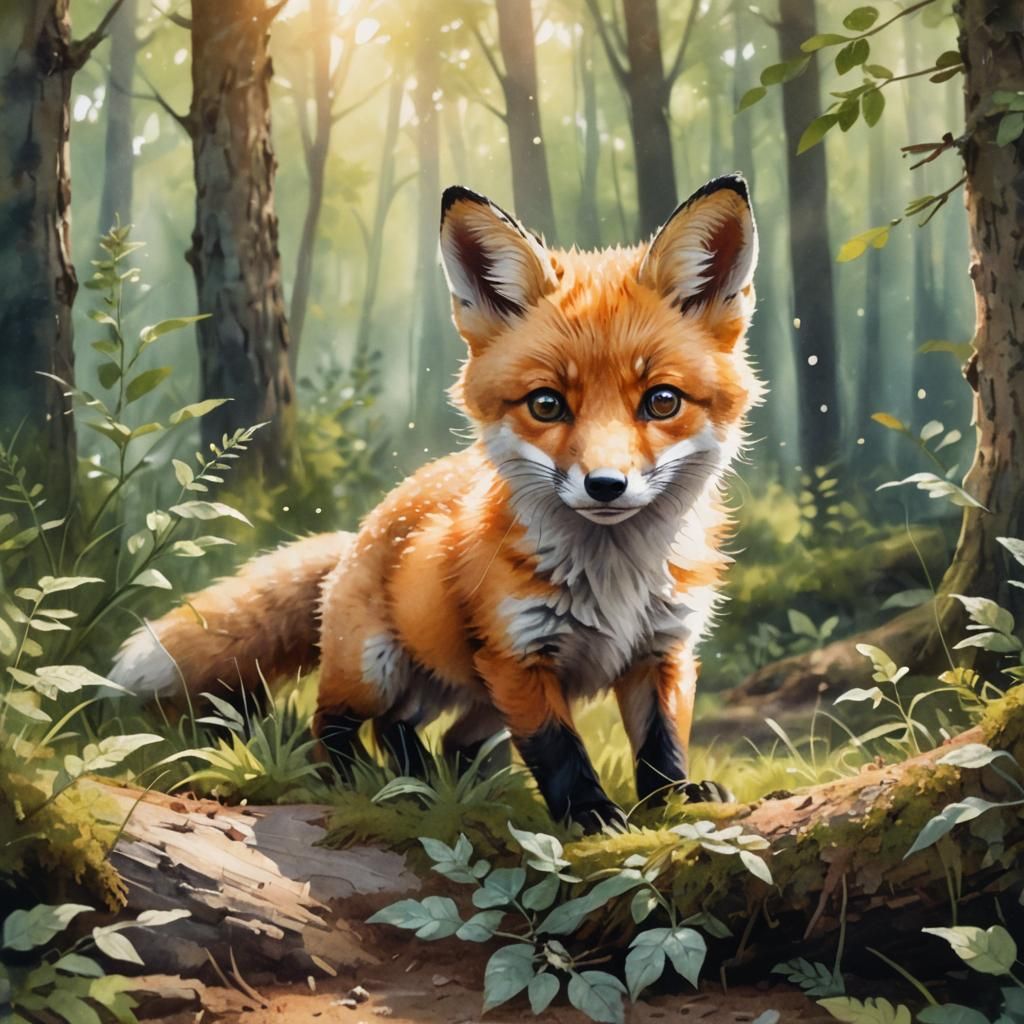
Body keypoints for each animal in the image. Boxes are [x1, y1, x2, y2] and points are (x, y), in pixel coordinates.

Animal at [111, 175, 762, 832]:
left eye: (662, 401)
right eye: (547, 404)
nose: (606, 485)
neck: (614, 580)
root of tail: (360, 533)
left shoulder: (662, 650)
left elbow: (662, 742)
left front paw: (675, 800)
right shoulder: (518, 657)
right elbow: (558, 748)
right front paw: (589, 812)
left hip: (470, 695)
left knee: (431, 736)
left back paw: (433, 784)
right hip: (376, 670)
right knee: (335, 723)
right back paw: (365, 782)